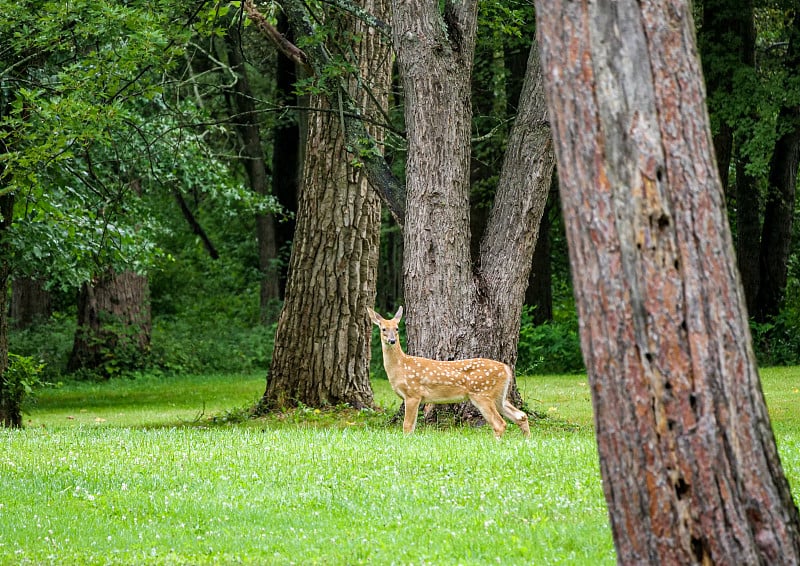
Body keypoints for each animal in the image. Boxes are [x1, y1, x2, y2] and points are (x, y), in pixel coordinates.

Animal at [368, 306, 532, 440]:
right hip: (498, 396)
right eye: (383, 329)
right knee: (521, 416)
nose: (392, 340)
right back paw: (526, 441)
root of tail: (506, 369)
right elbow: (411, 427)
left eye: (396, 328)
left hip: (482, 393)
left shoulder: (413, 394)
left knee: (500, 423)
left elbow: (407, 426)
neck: (401, 366)